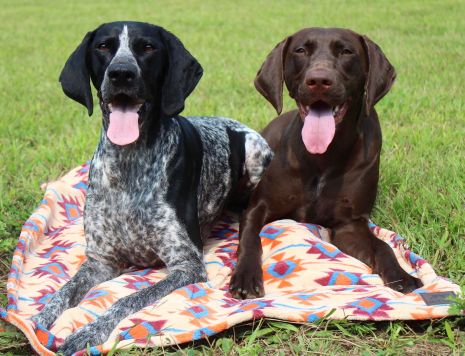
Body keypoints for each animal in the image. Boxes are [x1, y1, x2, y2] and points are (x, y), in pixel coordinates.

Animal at [32, 21, 270, 354]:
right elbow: (63, 291)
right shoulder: (100, 262)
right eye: (103, 46)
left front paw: (89, 330)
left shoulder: (186, 264)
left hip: (254, 150)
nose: (121, 73)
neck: (129, 163)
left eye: (147, 48)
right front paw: (40, 320)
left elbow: (128, 298)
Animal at [230, 27, 422, 298]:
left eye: (346, 51)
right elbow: (249, 239)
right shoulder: (259, 207)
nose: (319, 81)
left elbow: (382, 246)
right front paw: (246, 276)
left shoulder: (349, 225)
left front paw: (400, 274)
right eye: (300, 50)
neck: (324, 156)